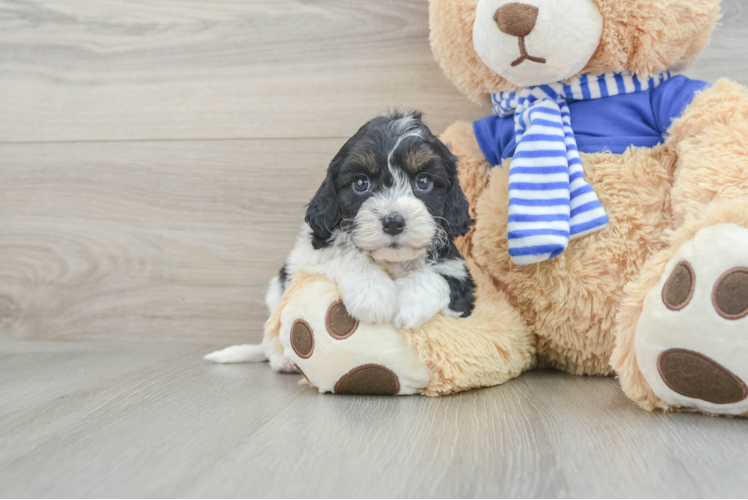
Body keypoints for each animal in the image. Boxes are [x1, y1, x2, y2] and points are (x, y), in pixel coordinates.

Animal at [206, 111, 474, 374]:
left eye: (423, 182)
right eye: (361, 183)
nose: (393, 222)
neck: (390, 260)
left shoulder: (460, 276)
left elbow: (440, 277)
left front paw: (409, 303)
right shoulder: (308, 257)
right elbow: (345, 255)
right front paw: (372, 293)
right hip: (276, 292)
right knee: (272, 332)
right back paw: (284, 361)